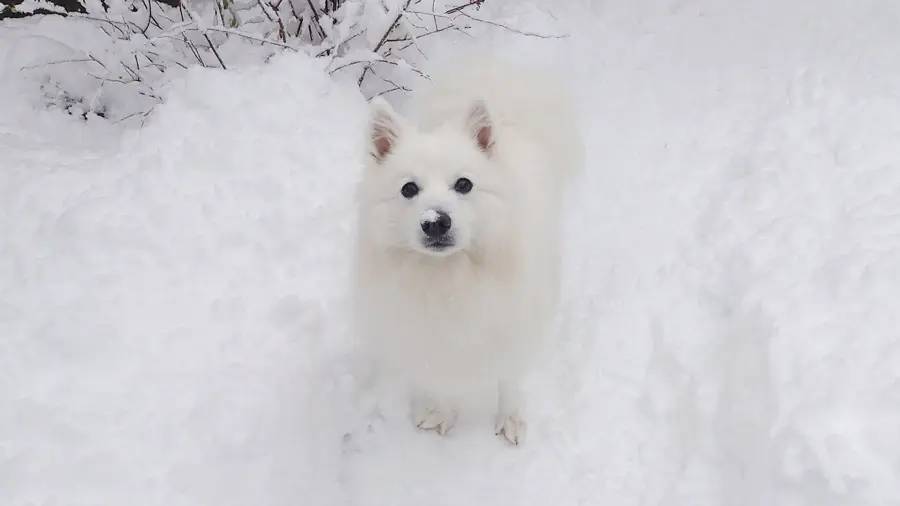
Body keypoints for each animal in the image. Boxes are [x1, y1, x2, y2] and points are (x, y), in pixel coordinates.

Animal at [354, 59, 584, 444]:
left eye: (464, 184)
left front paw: (510, 420)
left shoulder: (513, 326)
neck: (450, 278)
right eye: (408, 189)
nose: (436, 222)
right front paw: (440, 413)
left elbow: (509, 379)